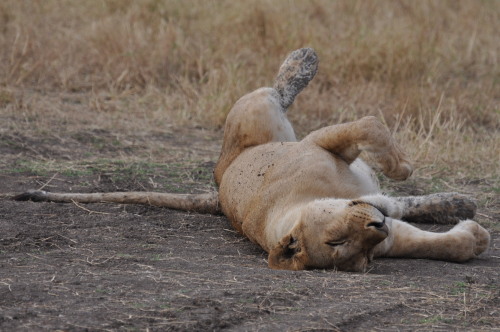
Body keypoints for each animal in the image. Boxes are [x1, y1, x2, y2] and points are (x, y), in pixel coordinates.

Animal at [12, 49, 492, 272]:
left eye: (339, 238)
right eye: (345, 249)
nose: (377, 227)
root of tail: (219, 181)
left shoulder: (321, 144)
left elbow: (372, 125)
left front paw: (403, 169)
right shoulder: (387, 231)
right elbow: (442, 244)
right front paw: (475, 236)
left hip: (266, 125)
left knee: (275, 91)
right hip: (262, 118)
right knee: (275, 89)